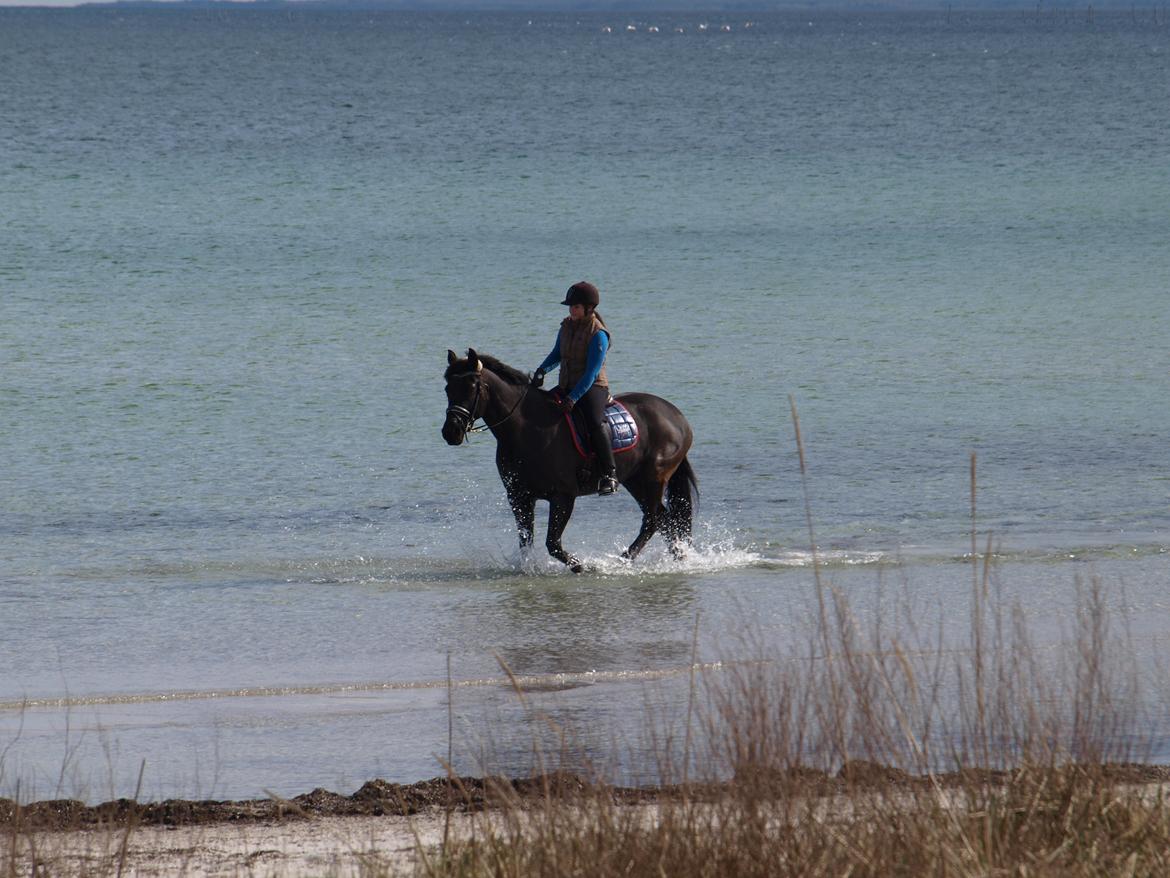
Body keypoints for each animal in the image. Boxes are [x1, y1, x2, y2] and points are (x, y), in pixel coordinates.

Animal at [439, 346, 692, 573]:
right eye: (448, 388)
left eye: (472, 386)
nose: (451, 432)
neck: (526, 430)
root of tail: (676, 416)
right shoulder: (519, 497)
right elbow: (526, 542)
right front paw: (530, 569)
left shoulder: (563, 497)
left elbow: (552, 543)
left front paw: (581, 566)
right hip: (635, 481)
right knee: (664, 519)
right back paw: (679, 557)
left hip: (654, 478)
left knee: (652, 521)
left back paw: (621, 561)